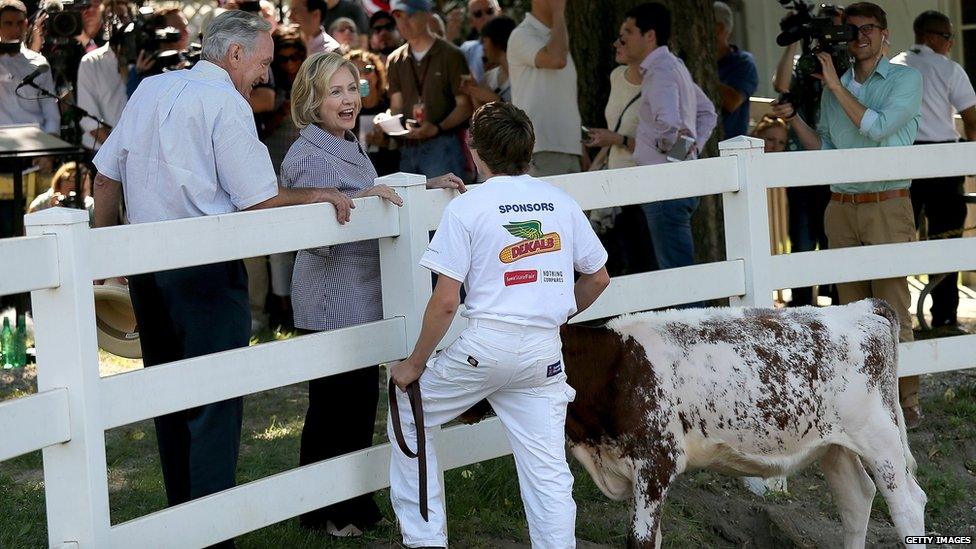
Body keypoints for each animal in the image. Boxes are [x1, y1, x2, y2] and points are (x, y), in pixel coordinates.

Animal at [560, 300, 928, 548]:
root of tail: (862, 308)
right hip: (833, 444)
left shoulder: (656, 461)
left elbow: (641, 540)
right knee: (856, 500)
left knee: (907, 506)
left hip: (879, 437)